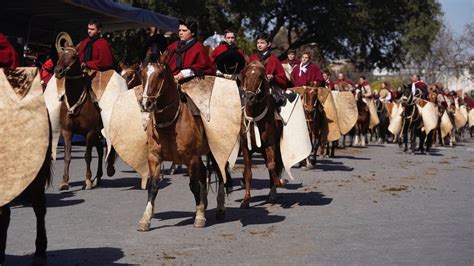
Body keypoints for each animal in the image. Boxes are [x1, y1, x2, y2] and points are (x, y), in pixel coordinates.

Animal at [53, 46, 115, 191]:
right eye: (59, 55)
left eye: (73, 57)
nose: (58, 71)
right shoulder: (67, 131)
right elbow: (67, 156)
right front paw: (65, 181)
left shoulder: (90, 132)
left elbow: (87, 156)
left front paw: (87, 180)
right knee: (100, 149)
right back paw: (98, 177)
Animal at [136, 58, 227, 231]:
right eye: (142, 74)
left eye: (160, 74)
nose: (146, 103)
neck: (171, 123)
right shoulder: (154, 157)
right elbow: (153, 187)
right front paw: (145, 219)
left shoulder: (191, 158)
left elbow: (193, 185)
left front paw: (199, 217)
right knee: (204, 173)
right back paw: (204, 204)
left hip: (213, 151)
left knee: (219, 172)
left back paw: (219, 208)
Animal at [239, 61, 284, 209]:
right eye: (246, 75)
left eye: (260, 76)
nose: (249, 97)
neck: (254, 118)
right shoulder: (246, 148)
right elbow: (247, 173)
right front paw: (246, 199)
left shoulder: (270, 145)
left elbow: (272, 166)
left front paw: (279, 183)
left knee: (275, 165)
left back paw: (273, 194)